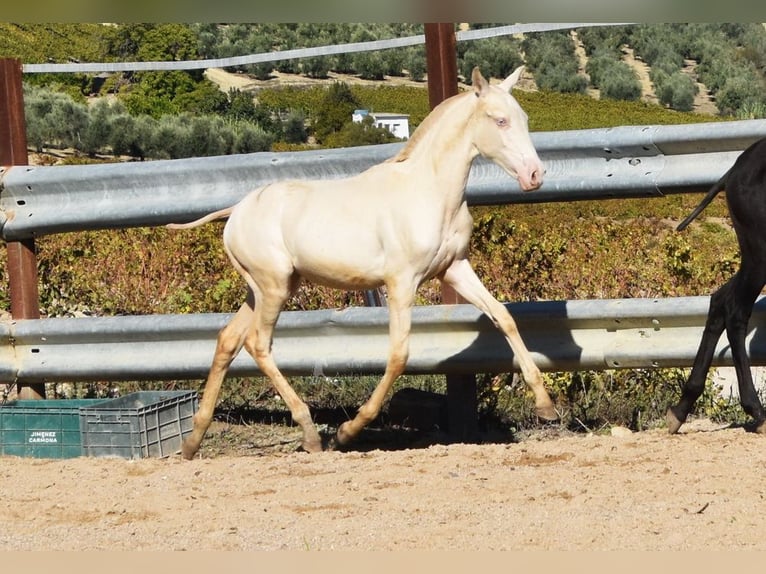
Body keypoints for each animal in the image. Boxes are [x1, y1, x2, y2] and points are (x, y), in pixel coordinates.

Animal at [171, 65, 560, 460]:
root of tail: (236, 210)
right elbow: (399, 354)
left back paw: (192, 441)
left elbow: (503, 316)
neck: (429, 191)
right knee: (258, 343)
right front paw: (348, 431)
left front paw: (545, 406)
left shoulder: (454, 269)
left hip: (266, 289)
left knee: (228, 339)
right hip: (274, 287)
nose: (535, 175)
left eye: (524, 118)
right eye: (499, 120)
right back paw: (311, 435)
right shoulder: (402, 281)